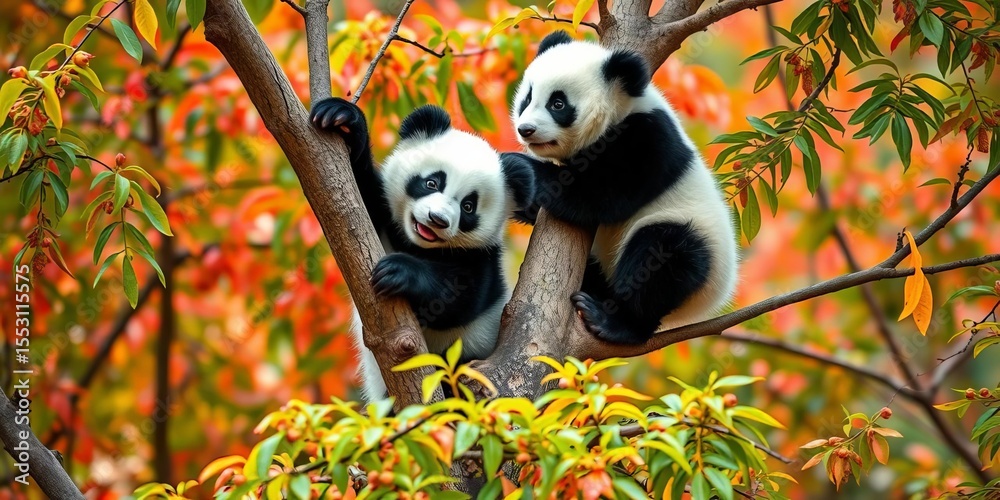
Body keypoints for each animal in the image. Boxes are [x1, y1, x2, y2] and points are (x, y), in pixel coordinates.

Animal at [310, 98, 534, 401]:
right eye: (432, 182)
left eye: (468, 206)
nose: (437, 219)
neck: (419, 247)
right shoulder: (383, 224)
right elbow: (354, 199)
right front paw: (343, 119)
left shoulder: (482, 258)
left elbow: (460, 297)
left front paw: (400, 272)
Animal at [501, 31, 738, 345]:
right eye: (527, 98)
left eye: (558, 104)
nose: (526, 129)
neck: (622, 108)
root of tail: (713, 301)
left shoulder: (647, 139)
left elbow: (599, 194)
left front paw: (518, 166)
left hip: (697, 237)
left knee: (662, 258)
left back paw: (614, 322)